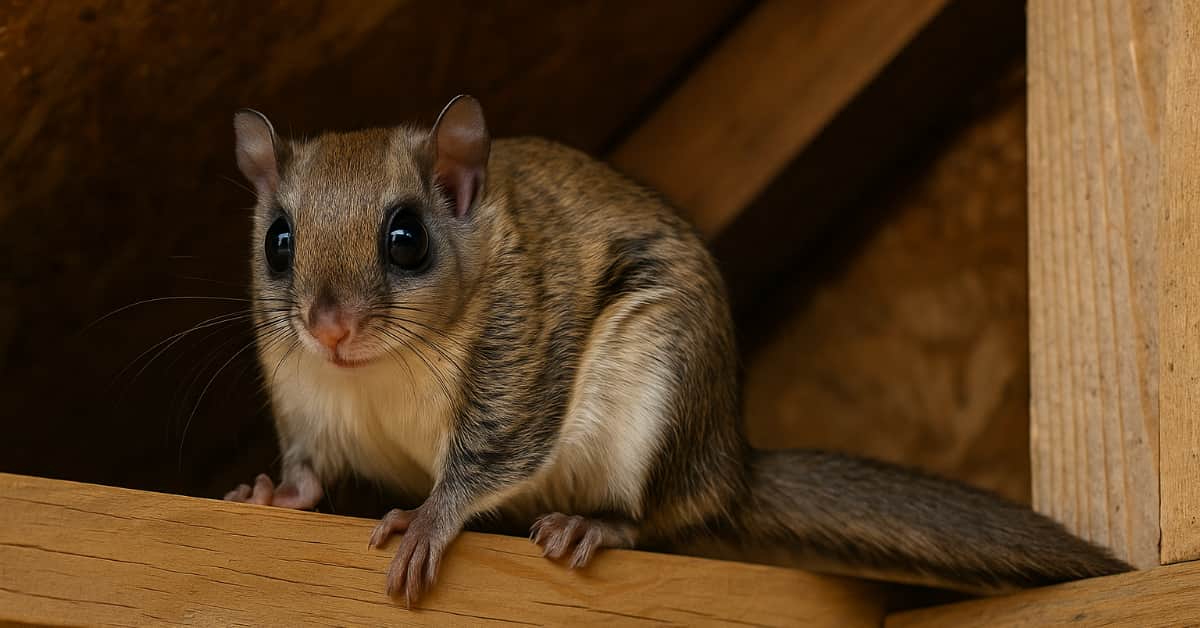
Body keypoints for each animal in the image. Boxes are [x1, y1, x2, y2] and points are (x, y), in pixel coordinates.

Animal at [224, 95, 1131, 605]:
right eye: (278, 242)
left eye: (406, 237)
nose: (329, 327)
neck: (375, 373)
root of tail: (727, 465)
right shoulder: (306, 398)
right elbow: (308, 473)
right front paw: (270, 493)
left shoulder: (521, 349)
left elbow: (492, 455)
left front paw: (427, 520)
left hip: (658, 386)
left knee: (651, 516)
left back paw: (593, 526)